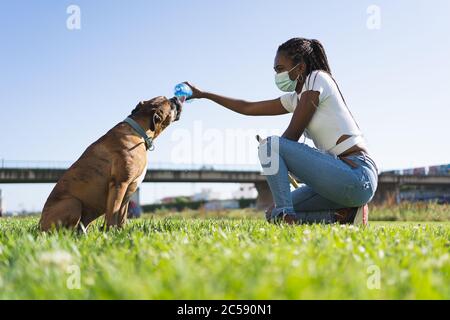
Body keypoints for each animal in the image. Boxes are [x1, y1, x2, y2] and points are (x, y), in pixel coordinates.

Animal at [39, 95, 183, 232]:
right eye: (169, 103)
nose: (176, 98)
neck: (139, 132)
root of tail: (40, 225)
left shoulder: (128, 191)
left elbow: (122, 216)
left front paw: (121, 232)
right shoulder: (119, 184)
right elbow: (113, 213)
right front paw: (110, 232)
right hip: (73, 203)